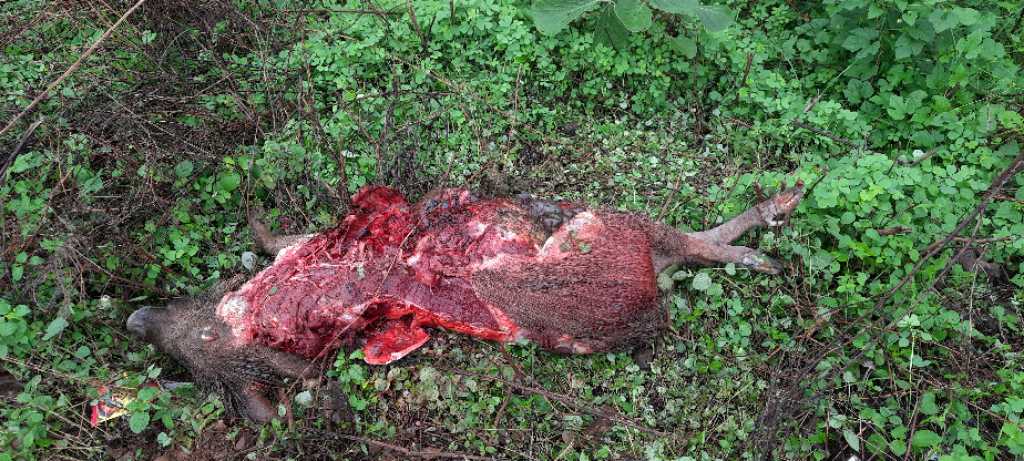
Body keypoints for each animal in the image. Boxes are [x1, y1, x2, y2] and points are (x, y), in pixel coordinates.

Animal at [127, 183, 803, 422]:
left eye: (207, 344)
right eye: (201, 370)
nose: (137, 319)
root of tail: (648, 287)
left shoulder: (307, 247)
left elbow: (278, 234)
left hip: (603, 225)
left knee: (694, 240)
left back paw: (779, 210)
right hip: (615, 242)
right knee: (695, 243)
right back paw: (769, 234)